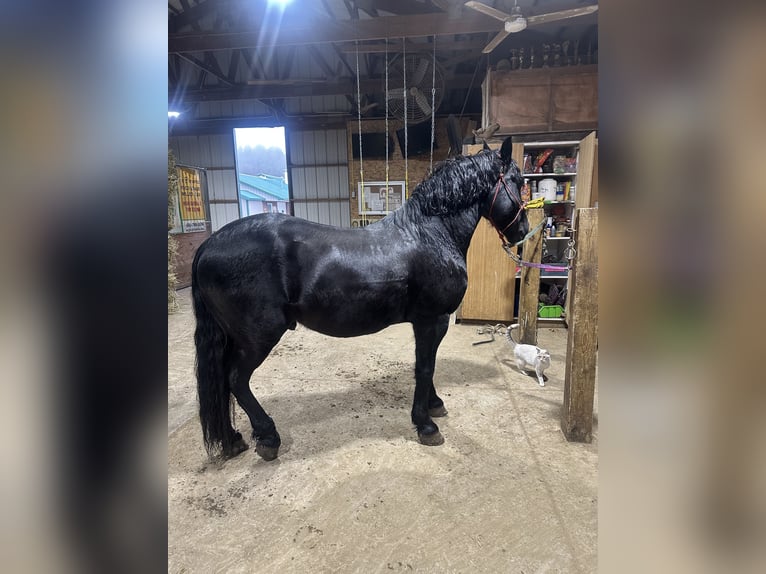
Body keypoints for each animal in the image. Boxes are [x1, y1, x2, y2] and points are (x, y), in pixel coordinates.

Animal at [191, 139, 529, 461]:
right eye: (518, 180)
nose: (523, 232)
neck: (431, 233)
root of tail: (208, 245)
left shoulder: (428, 323)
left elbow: (427, 365)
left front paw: (434, 404)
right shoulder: (432, 320)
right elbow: (424, 368)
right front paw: (426, 424)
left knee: (222, 381)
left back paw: (233, 439)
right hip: (259, 336)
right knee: (236, 380)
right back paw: (269, 438)